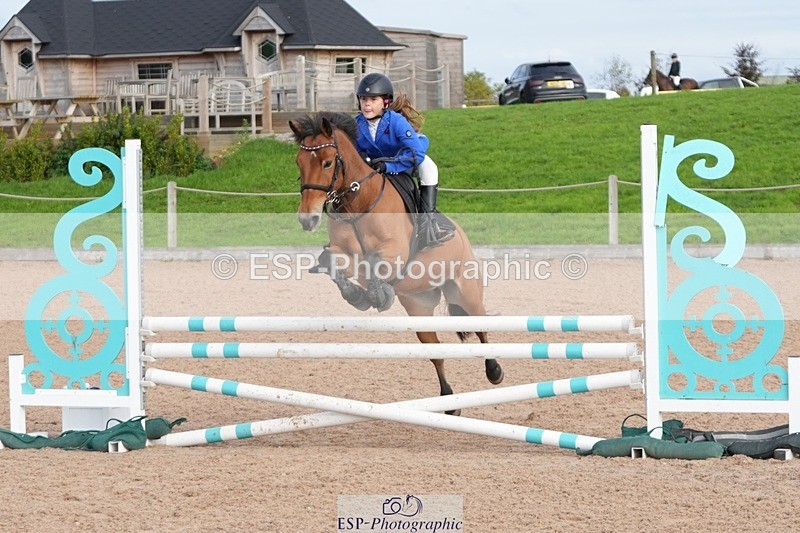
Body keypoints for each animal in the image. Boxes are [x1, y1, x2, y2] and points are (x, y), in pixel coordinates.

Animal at [289, 111, 503, 411]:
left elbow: (376, 262)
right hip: (419, 306)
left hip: (466, 292)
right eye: (299, 162)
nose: (307, 219)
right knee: (436, 352)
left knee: (481, 326)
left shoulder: (395, 251)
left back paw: (494, 371)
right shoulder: (342, 252)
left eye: (328, 162)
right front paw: (356, 295)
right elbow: (333, 261)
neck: (358, 203)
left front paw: (377, 294)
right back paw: (449, 401)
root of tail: (461, 233)